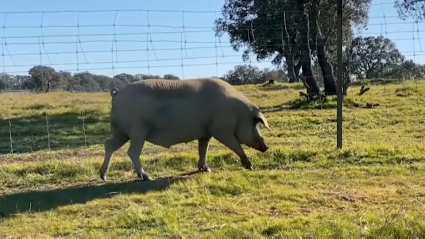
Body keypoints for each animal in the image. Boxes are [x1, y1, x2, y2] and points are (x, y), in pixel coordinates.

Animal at [100, 78, 268, 181]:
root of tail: (117, 94)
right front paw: (250, 166)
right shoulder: (221, 130)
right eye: (256, 124)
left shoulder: (205, 133)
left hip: (121, 132)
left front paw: (206, 170)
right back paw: (147, 177)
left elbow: (203, 149)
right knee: (132, 152)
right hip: (137, 131)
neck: (238, 113)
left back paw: (103, 176)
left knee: (109, 145)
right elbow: (236, 146)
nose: (266, 147)